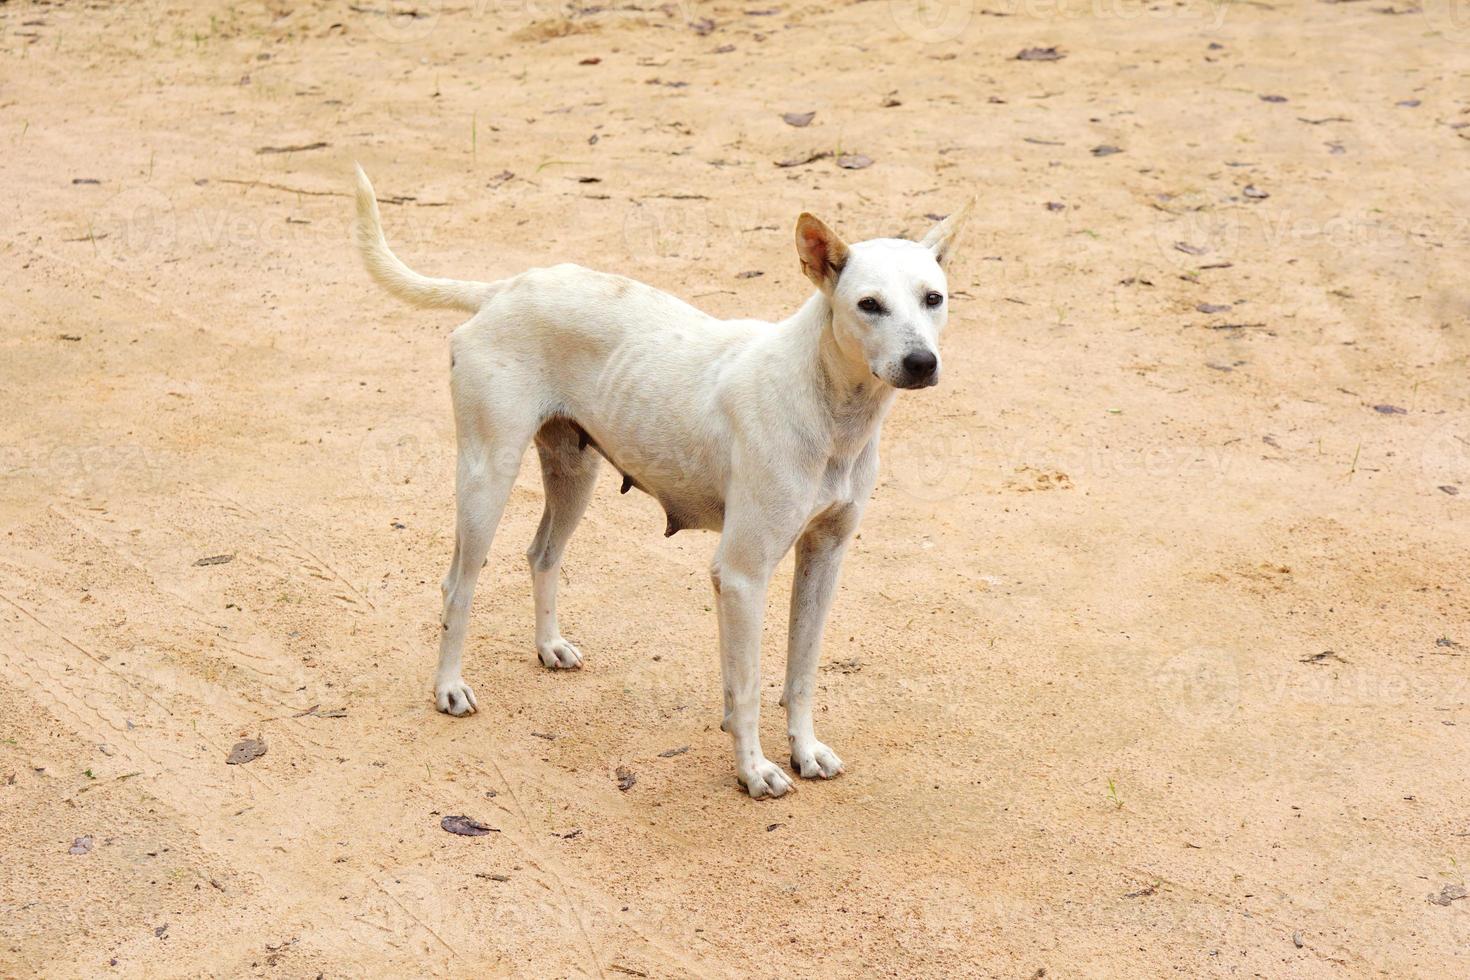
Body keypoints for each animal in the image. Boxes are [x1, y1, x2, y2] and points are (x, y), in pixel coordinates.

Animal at [345, 168, 964, 799]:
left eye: (933, 298)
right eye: (869, 305)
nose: (921, 362)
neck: (827, 405)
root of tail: (503, 289)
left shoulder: (824, 557)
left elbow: (801, 671)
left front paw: (804, 749)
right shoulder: (741, 575)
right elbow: (746, 687)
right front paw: (753, 769)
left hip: (574, 476)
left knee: (542, 554)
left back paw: (549, 646)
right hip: (485, 478)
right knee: (458, 586)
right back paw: (448, 686)